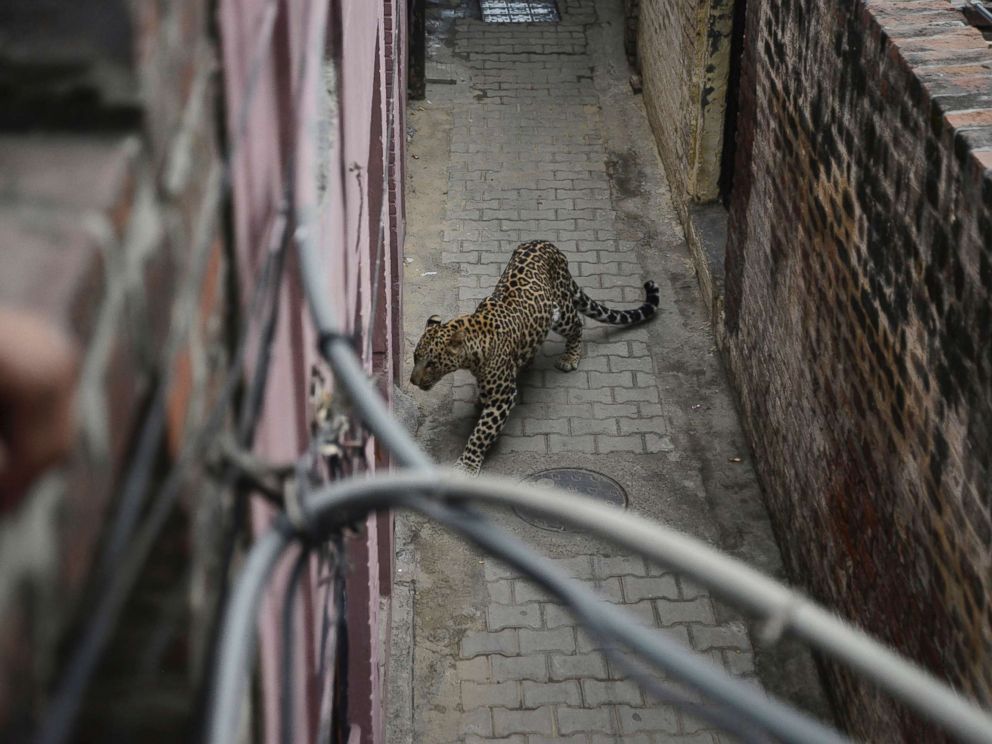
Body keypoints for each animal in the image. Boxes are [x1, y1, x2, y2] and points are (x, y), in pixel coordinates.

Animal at [410, 238, 660, 474]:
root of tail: (548, 244)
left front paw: (467, 466)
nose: (412, 381)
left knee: (577, 324)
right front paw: (480, 401)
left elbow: (481, 432)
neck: (473, 345)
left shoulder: (503, 395)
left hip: (560, 312)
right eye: (414, 358)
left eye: (431, 363)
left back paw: (570, 357)